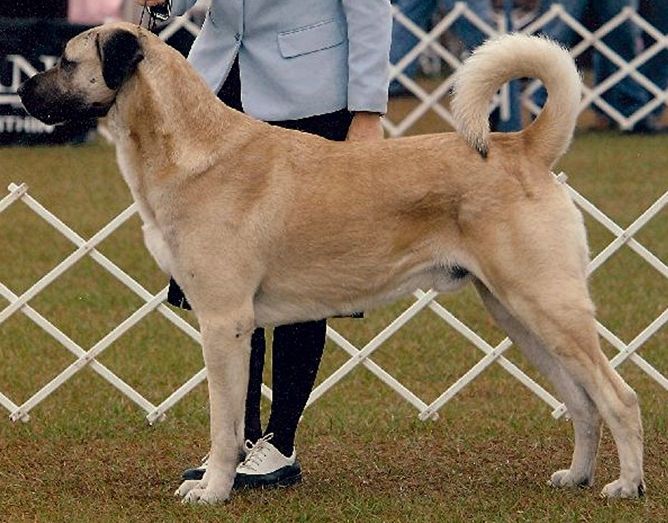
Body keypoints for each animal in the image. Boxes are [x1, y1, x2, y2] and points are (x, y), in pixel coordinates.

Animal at [19, 22, 648, 506]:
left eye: (67, 61)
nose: (22, 91)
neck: (188, 146)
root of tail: (522, 146)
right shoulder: (235, 326)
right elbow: (236, 416)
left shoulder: (224, 323)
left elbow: (225, 424)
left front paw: (214, 491)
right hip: (516, 314)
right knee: (582, 403)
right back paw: (577, 477)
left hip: (548, 305)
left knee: (618, 398)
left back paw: (626, 486)